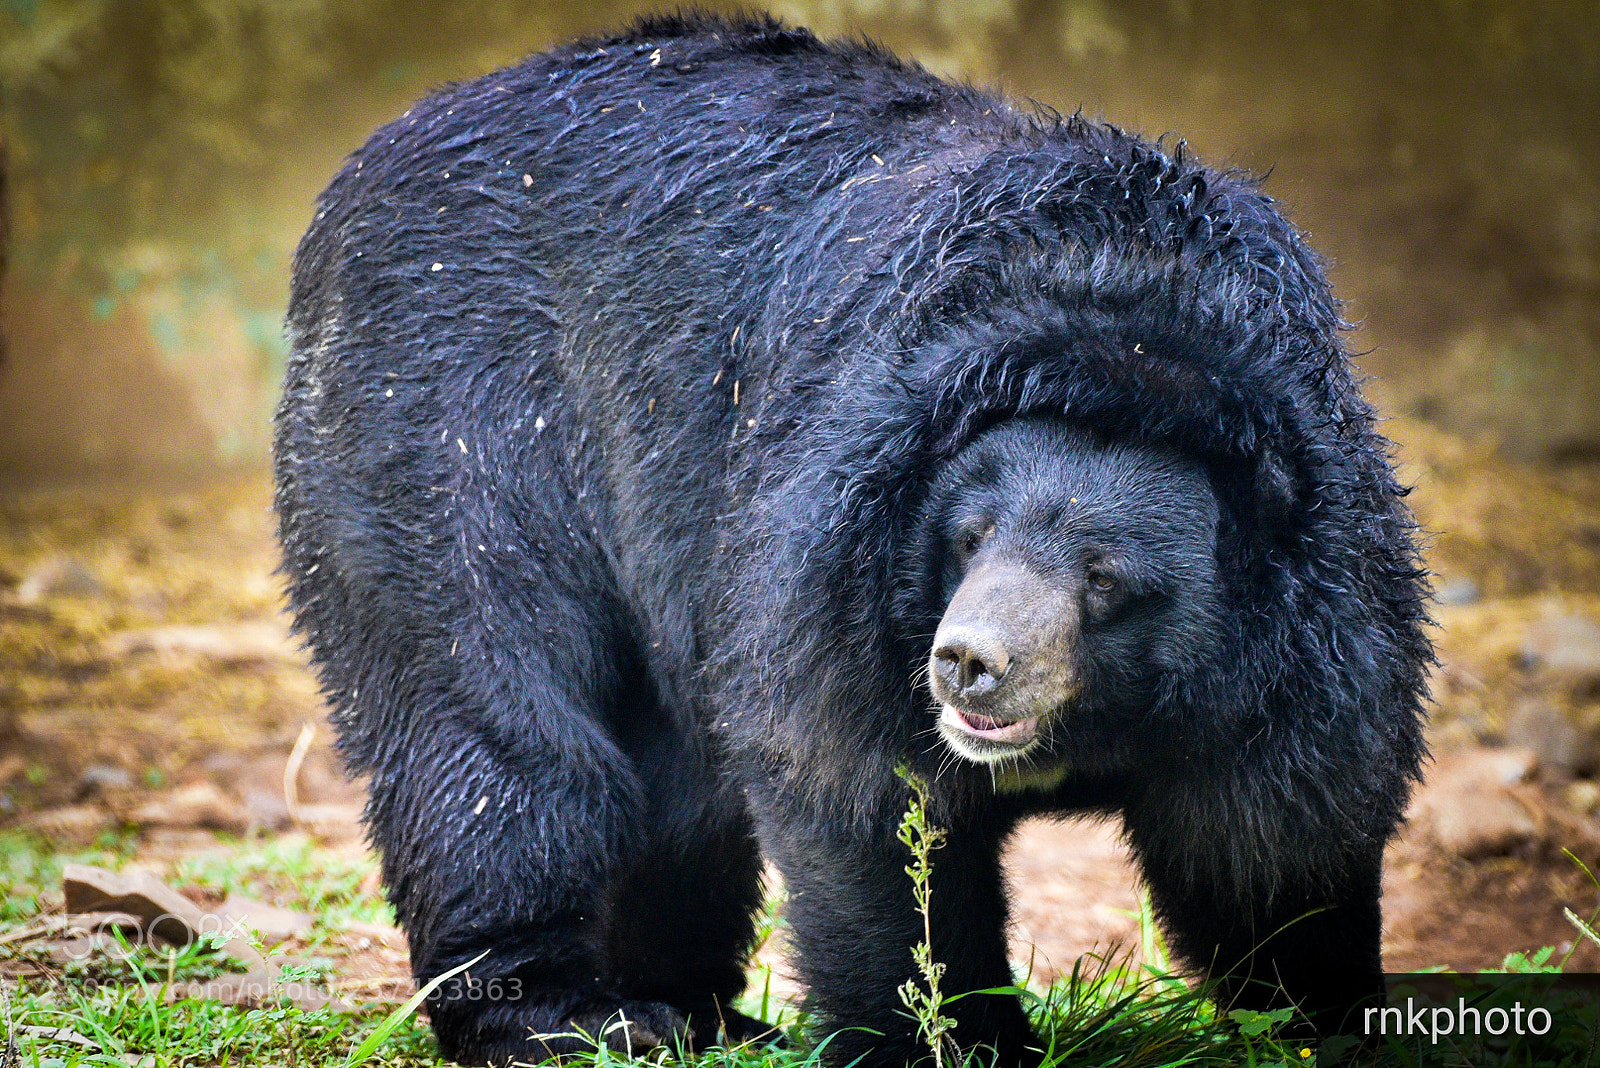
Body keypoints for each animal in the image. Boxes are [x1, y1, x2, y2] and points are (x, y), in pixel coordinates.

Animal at [274, 12, 1431, 1068]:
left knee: (675, 784)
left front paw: (1326, 1017)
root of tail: (384, 144)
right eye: (969, 538)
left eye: (1105, 579)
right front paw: (952, 1039)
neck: (1133, 323)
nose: (969, 664)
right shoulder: (842, 543)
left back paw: (692, 1006)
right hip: (451, 415)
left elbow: (1273, 844)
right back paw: (571, 1017)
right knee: (494, 717)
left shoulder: (1310, 634)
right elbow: (868, 810)